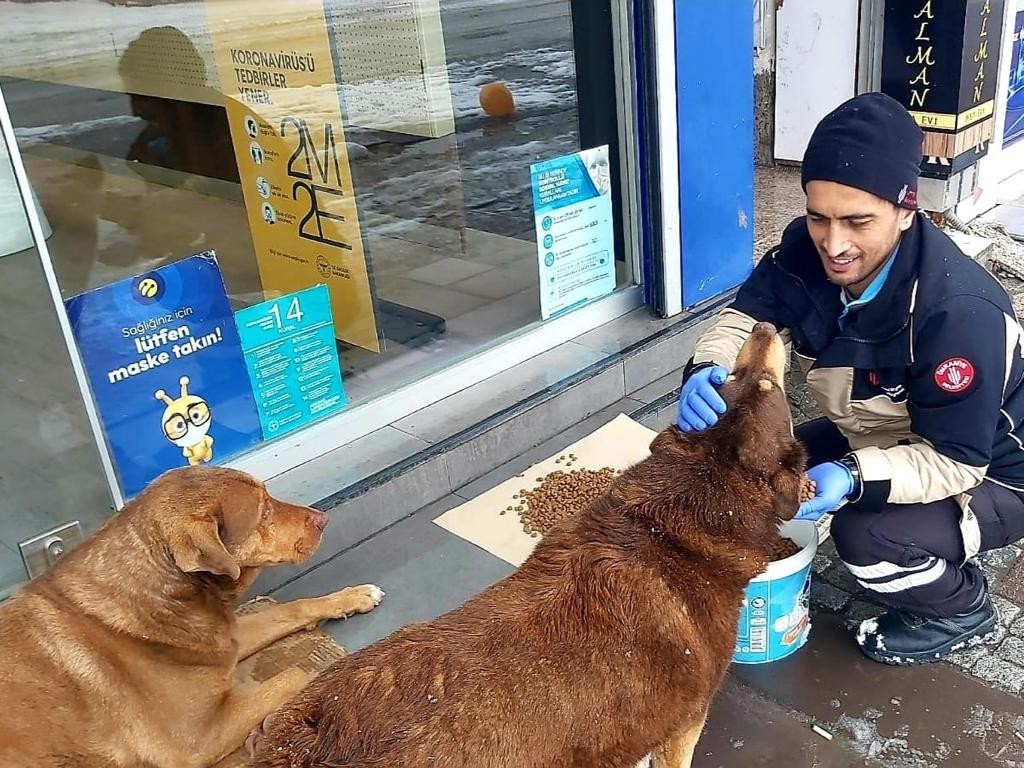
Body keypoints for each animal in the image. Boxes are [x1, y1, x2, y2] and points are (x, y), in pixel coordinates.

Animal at [0, 466, 385, 765]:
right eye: (263, 512)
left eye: (268, 495)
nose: (324, 518)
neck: (169, 592)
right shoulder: (199, 738)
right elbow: (297, 672)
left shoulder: (224, 640)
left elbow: (290, 609)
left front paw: (352, 596)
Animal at [249, 323, 806, 768]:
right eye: (759, 380)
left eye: (731, 378)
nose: (763, 324)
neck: (668, 525)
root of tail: (310, 736)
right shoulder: (685, 725)